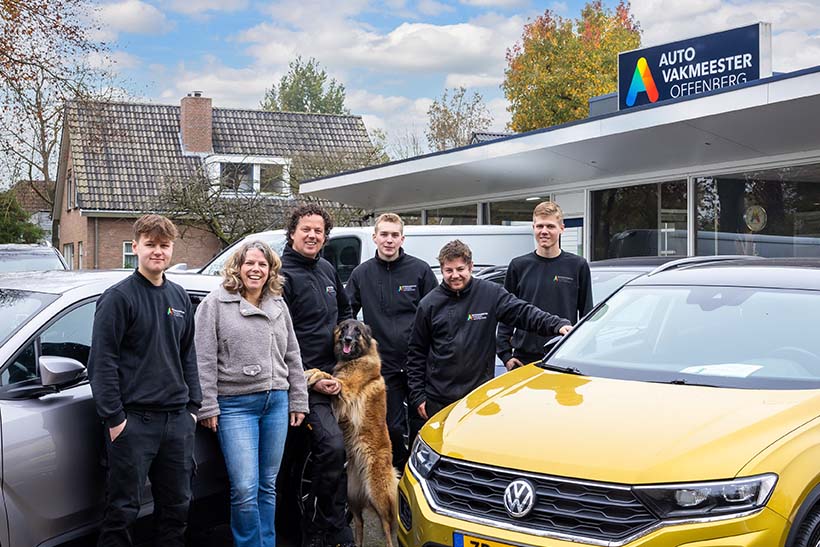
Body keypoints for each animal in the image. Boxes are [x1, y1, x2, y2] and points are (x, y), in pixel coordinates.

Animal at [306, 322, 398, 547]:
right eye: (344, 327)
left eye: (357, 331)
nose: (347, 339)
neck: (356, 357)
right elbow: (325, 373)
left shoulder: (344, 388)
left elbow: (325, 374)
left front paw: (310, 374)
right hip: (352, 497)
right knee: (358, 524)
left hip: (378, 493)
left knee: (387, 527)